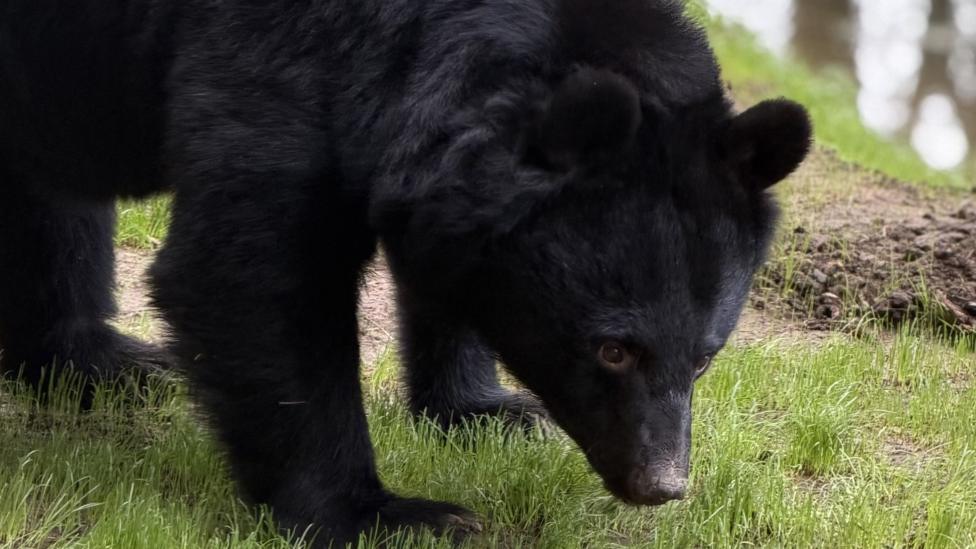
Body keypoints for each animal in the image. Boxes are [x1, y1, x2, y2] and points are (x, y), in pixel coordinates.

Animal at [0, 0, 811, 545]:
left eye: (704, 357)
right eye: (614, 348)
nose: (661, 484)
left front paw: (493, 411)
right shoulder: (274, 52)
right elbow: (253, 271)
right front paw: (395, 517)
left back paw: (96, 361)